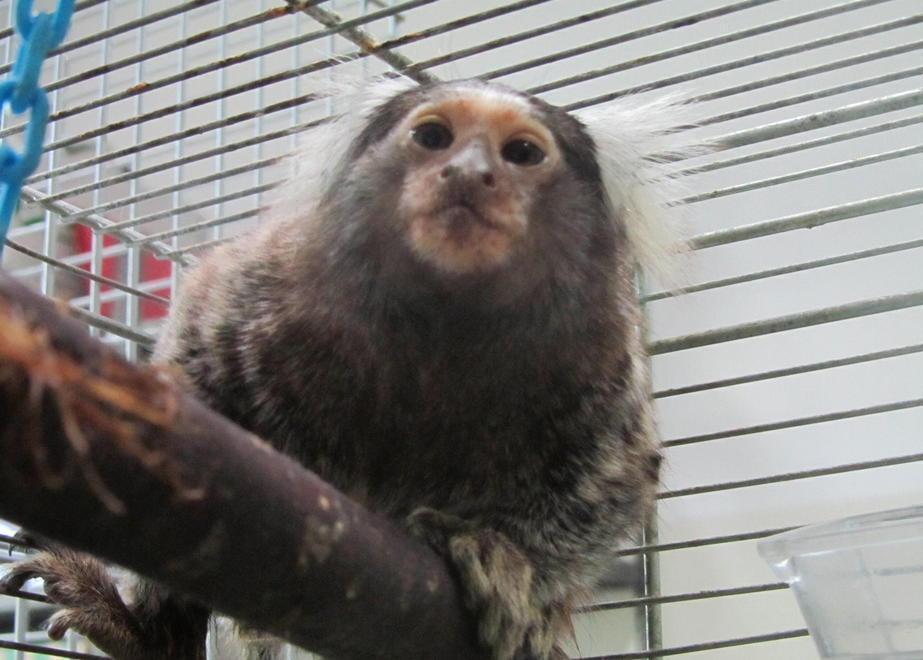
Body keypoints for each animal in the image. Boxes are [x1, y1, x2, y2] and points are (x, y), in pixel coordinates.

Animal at [0, 77, 698, 659]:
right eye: (434, 138)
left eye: (522, 153)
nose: (469, 174)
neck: (445, 315)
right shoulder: (259, 289)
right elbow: (195, 375)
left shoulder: (604, 362)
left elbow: (611, 485)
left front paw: (506, 562)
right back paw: (149, 636)